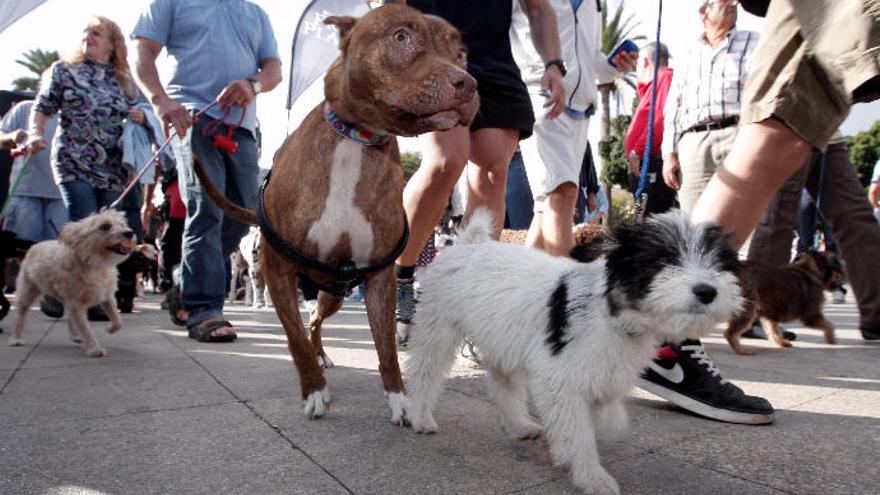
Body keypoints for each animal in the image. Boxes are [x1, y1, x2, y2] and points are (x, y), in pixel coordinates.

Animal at [8, 209, 137, 356]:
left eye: (123, 224)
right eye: (105, 226)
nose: (129, 233)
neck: (94, 263)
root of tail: (35, 245)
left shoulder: (106, 297)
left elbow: (118, 320)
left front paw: (110, 329)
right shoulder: (76, 303)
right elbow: (86, 329)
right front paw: (94, 348)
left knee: (70, 317)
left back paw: (75, 335)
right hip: (28, 291)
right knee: (20, 315)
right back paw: (16, 339)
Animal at [406, 210, 744, 495]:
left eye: (720, 263)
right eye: (664, 259)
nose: (707, 291)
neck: (610, 311)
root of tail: (467, 245)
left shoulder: (604, 367)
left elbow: (607, 409)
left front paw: (605, 426)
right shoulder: (558, 378)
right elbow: (577, 429)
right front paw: (591, 474)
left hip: (504, 337)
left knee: (503, 384)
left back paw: (518, 425)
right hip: (438, 327)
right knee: (424, 372)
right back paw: (419, 415)